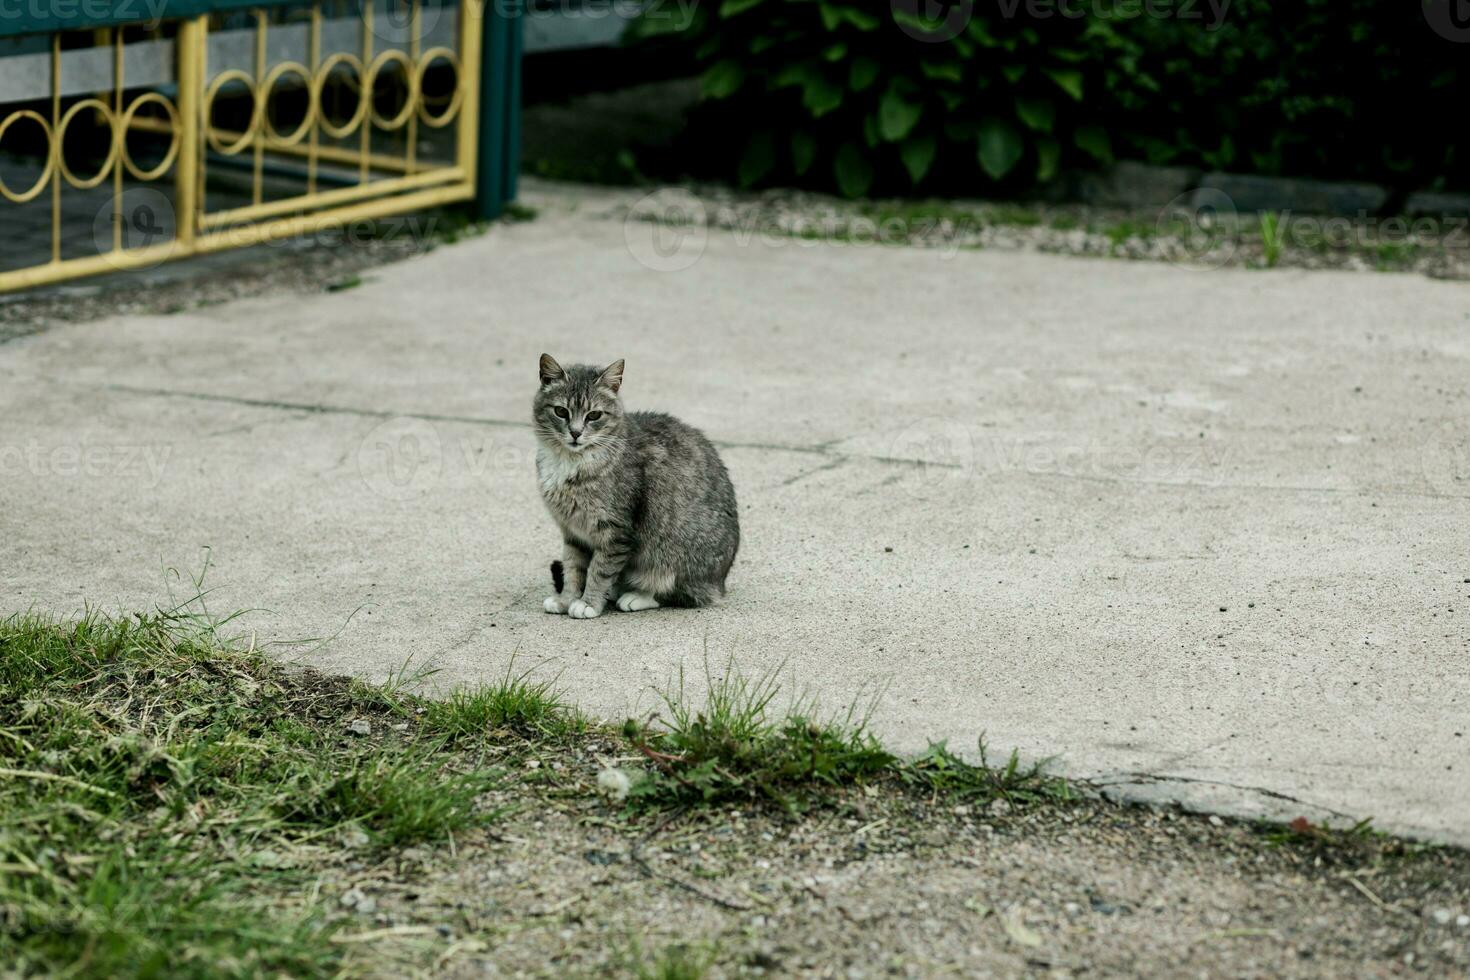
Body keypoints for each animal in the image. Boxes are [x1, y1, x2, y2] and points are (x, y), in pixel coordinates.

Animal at [535, 354, 740, 620]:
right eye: (561, 411)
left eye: (594, 415)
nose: (576, 433)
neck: (570, 461)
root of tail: (720, 584)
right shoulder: (573, 533)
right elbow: (573, 568)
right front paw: (566, 599)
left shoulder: (616, 532)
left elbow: (599, 570)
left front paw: (588, 602)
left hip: (670, 554)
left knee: (675, 592)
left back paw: (635, 596)